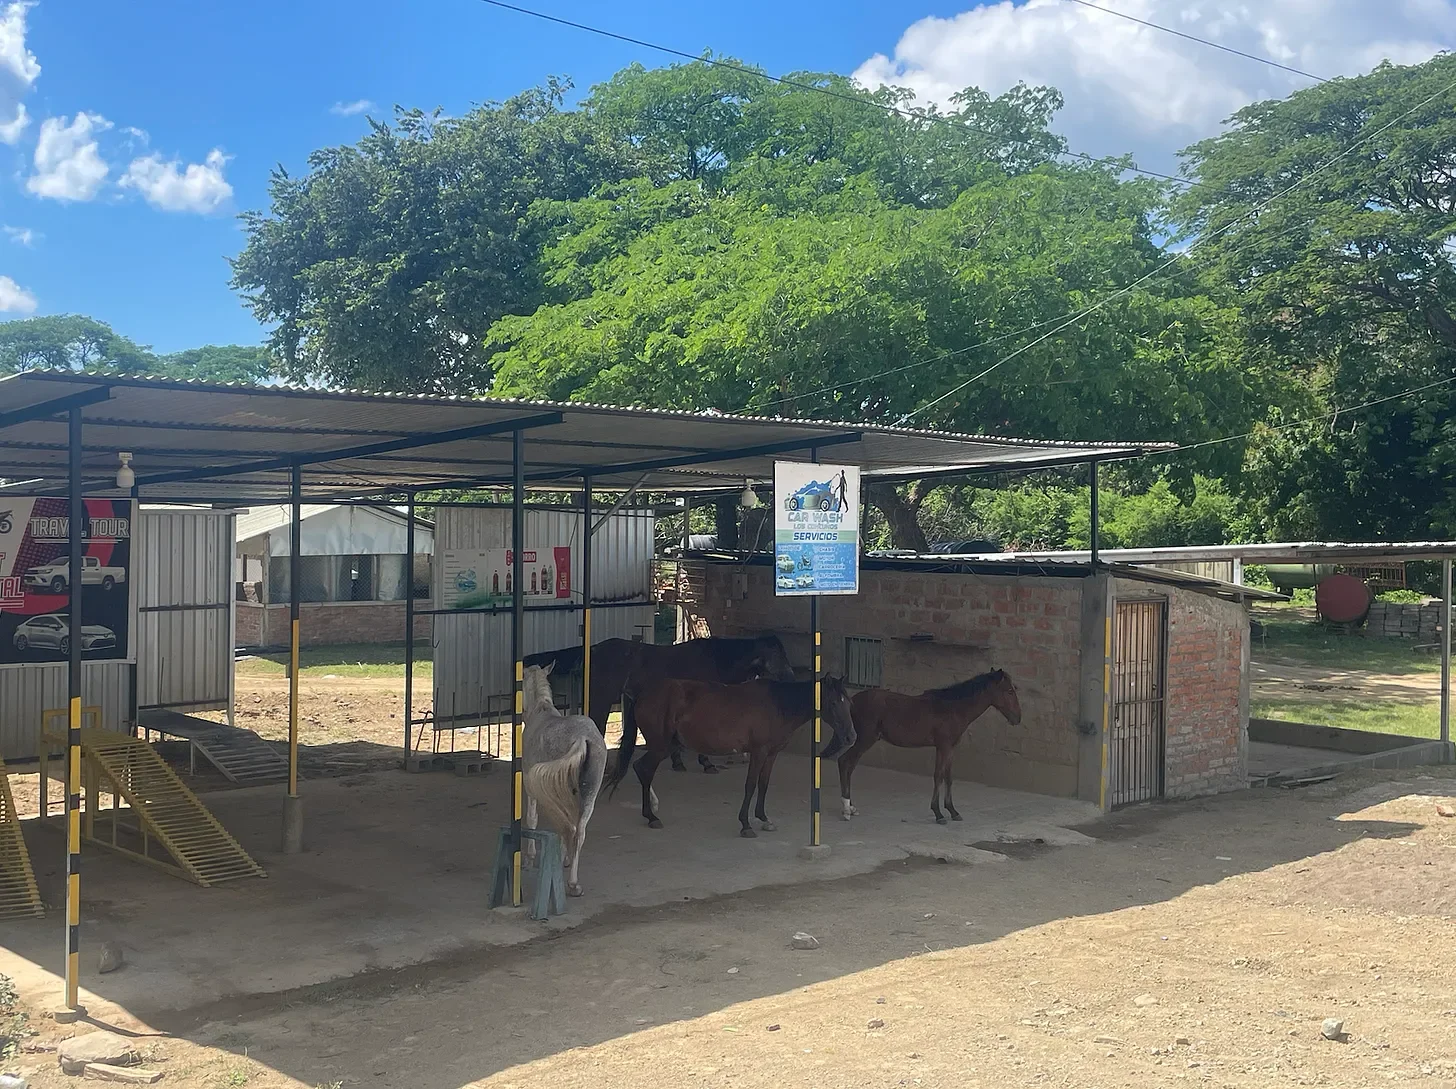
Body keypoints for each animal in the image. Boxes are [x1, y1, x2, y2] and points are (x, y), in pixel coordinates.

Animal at [520, 664, 608, 897]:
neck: (540, 710)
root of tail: (582, 738)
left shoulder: (531, 789)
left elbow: (532, 819)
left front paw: (529, 859)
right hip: (589, 794)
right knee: (579, 831)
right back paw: (573, 883)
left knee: (569, 828)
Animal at [526, 635, 797, 772]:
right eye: (777, 654)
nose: (792, 676)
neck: (715, 658)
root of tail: (592, 650)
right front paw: (705, 762)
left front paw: (679, 761)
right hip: (601, 699)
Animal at [606, 675, 857, 837]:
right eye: (834, 702)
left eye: (849, 702)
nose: (851, 737)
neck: (778, 704)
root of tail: (643, 693)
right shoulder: (758, 752)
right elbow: (750, 785)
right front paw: (746, 824)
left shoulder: (771, 754)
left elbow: (763, 784)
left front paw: (764, 819)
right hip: (661, 746)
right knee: (644, 769)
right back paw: (652, 817)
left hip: (666, 746)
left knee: (642, 769)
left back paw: (651, 813)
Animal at [838, 670, 1022, 825]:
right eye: (1009, 691)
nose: (1017, 718)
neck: (953, 709)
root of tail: (853, 701)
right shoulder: (943, 746)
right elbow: (938, 776)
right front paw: (938, 813)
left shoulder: (950, 748)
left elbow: (948, 777)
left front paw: (953, 811)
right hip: (863, 740)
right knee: (845, 763)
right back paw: (846, 810)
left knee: (848, 766)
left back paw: (851, 807)